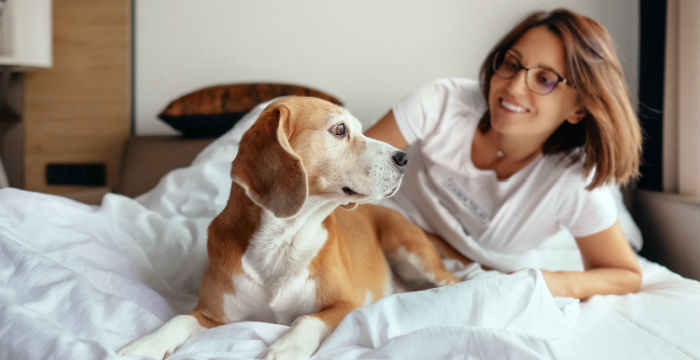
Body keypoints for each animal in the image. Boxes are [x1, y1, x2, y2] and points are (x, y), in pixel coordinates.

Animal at [119, 96, 460, 360]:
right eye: (340, 130)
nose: (404, 158)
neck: (281, 239)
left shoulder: (345, 305)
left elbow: (306, 319)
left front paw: (284, 349)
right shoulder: (211, 314)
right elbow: (178, 319)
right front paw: (144, 345)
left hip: (410, 250)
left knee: (454, 282)